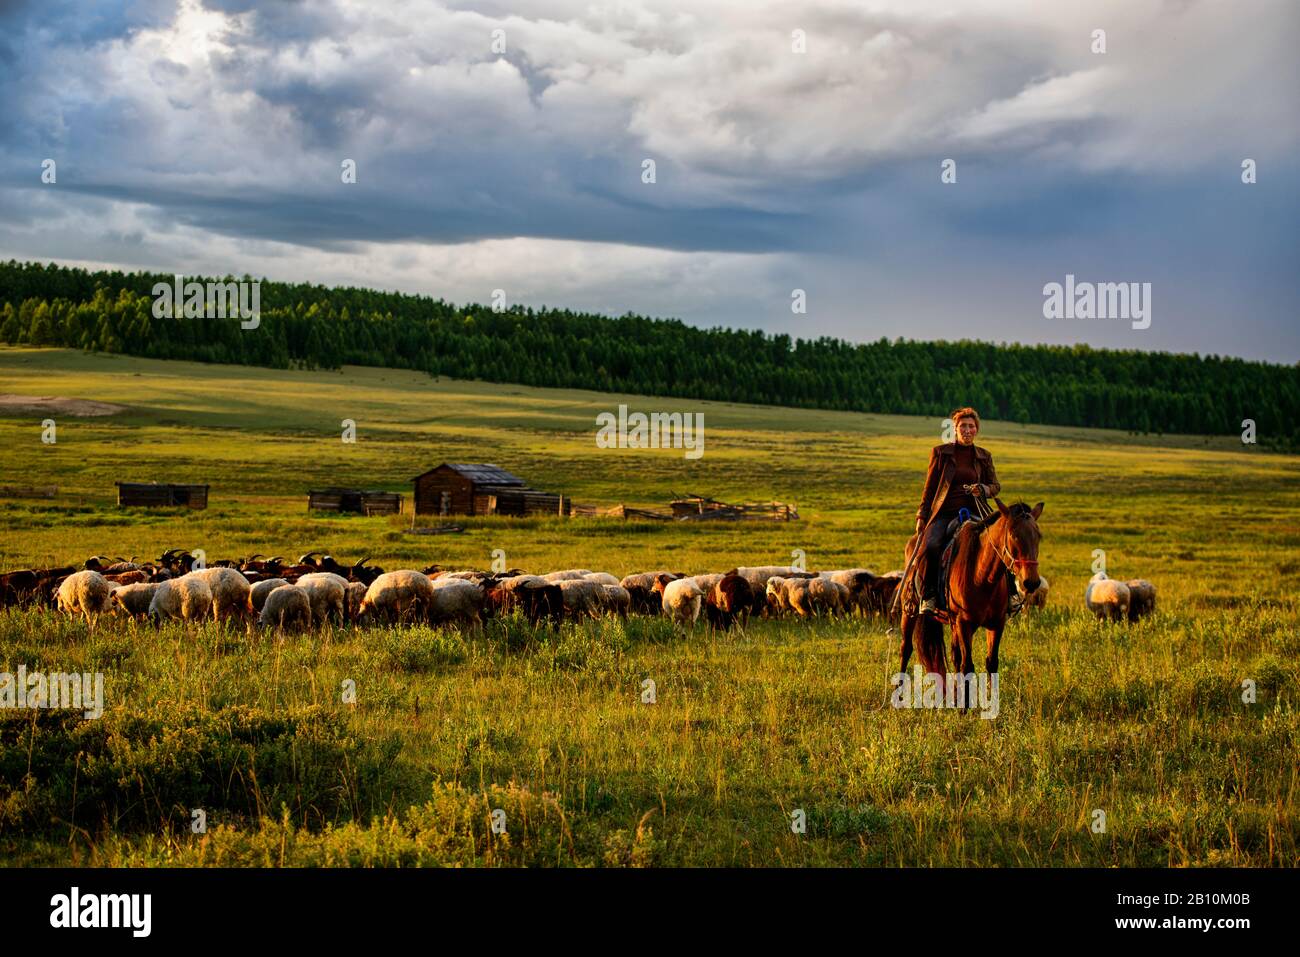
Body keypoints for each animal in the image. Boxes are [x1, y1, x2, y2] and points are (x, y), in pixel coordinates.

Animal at [899, 496, 1040, 696]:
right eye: (1013, 535)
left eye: (1038, 536)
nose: (1031, 582)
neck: (982, 576)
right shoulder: (964, 623)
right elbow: (967, 666)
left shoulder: (996, 624)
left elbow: (991, 663)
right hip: (909, 612)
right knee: (906, 648)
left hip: (952, 623)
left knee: (954, 655)